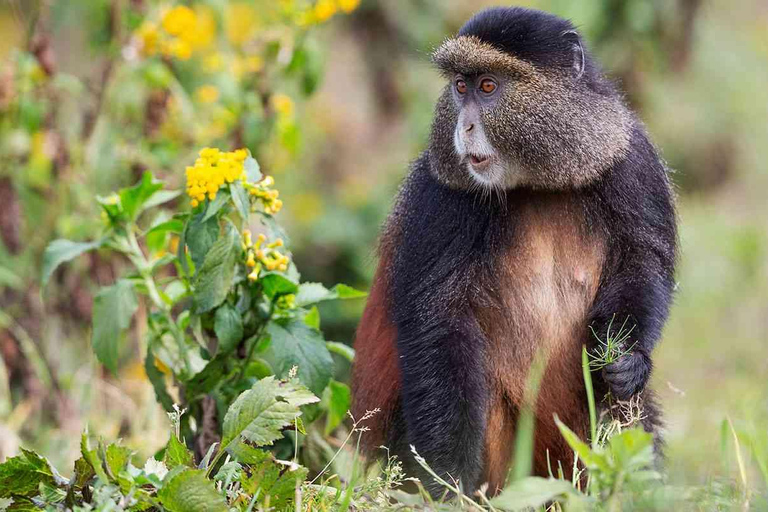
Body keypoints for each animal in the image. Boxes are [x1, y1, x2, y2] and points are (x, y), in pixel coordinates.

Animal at [351, 6, 677, 496]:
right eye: (460, 86)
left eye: (488, 86)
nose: (464, 127)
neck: (535, 181)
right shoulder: (440, 195)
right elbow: (439, 321)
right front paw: (447, 485)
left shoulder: (631, 159)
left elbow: (643, 264)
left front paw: (629, 362)